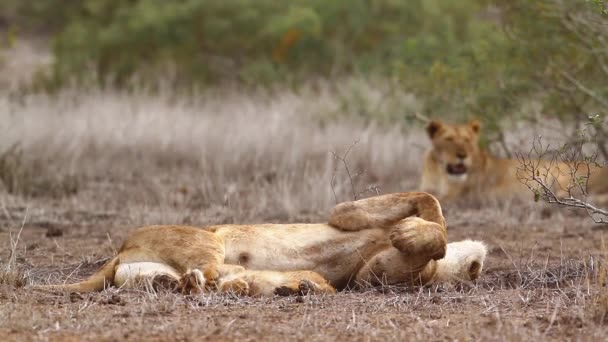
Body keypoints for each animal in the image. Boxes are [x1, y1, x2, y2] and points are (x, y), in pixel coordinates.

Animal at [420, 119, 608, 202]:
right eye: (449, 139)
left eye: (467, 140)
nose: (462, 154)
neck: (440, 173)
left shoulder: (456, 195)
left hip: (563, 174)